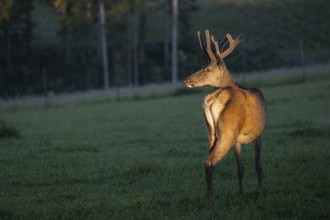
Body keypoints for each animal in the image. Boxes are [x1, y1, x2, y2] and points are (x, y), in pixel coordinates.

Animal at [184, 29, 266, 201]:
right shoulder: (258, 133)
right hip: (226, 133)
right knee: (209, 162)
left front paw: (242, 192)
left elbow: (240, 167)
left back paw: (210, 196)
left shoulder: (238, 140)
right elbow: (258, 165)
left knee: (209, 160)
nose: (186, 80)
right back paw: (211, 200)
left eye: (206, 69)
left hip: (212, 134)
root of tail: (212, 98)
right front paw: (261, 192)